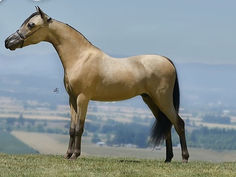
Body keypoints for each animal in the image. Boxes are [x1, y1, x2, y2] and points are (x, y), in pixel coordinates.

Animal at [4, 6, 190, 162]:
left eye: (31, 24)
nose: (8, 42)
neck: (80, 57)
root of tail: (166, 60)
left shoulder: (83, 98)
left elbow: (80, 127)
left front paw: (75, 155)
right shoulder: (72, 99)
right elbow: (72, 128)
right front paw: (67, 154)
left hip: (163, 99)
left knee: (178, 123)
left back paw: (184, 158)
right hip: (150, 100)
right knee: (166, 125)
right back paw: (167, 159)